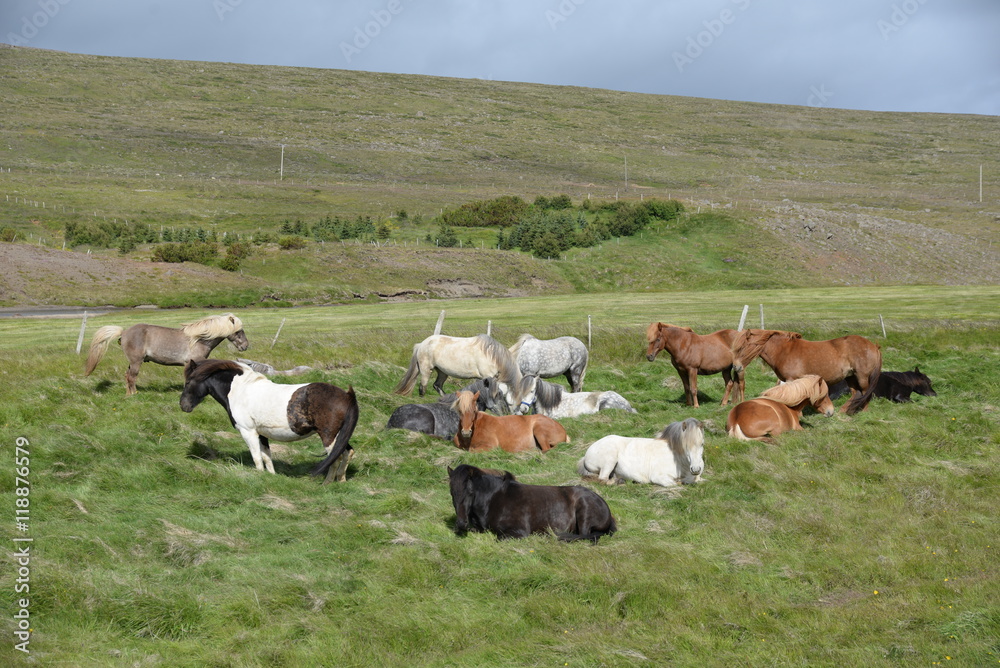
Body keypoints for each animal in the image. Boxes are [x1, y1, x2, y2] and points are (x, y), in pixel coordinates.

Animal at [85, 313, 249, 395]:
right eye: (238, 331)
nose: (245, 346)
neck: (198, 339)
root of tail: (124, 332)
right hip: (136, 362)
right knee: (132, 377)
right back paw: (135, 395)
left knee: (127, 376)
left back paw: (129, 394)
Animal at [179, 359, 358, 484]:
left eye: (188, 381)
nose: (183, 405)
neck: (240, 390)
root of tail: (346, 395)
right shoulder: (262, 433)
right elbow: (266, 457)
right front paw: (271, 477)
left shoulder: (248, 432)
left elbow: (257, 457)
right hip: (339, 435)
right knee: (347, 452)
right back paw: (341, 480)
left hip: (328, 435)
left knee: (335, 456)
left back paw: (327, 482)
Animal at [394, 334, 532, 409]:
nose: (525, 411)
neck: (492, 355)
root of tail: (422, 344)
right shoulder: (487, 377)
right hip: (426, 370)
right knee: (423, 387)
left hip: (442, 372)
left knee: (437, 385)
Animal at [447, 464, 616, 542]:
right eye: (452, 493)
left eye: (469, 492)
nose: (461, 523)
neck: (494, 499)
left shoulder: (519, 531)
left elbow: (498, 537)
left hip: (584, 512)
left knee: (585, 536)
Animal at [730, 329, 881, 415]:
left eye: (743, 347)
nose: (735, 367)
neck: (783, 351)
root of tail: (873, 345)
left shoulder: (792, 380)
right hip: (850, 377)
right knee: (856, 393)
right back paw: (844, 411)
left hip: (862, 376)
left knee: (865, 393)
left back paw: (863, 412)